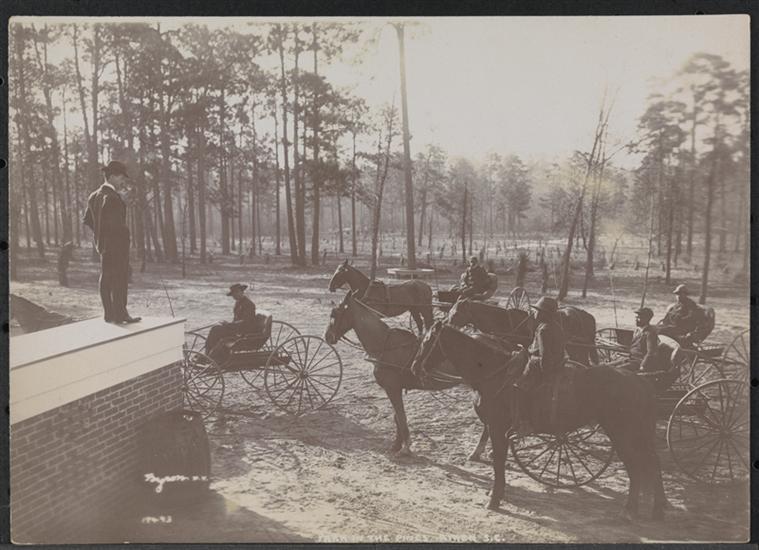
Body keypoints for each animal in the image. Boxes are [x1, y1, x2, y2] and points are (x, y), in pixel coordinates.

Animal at [324, 290, 483, 455]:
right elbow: (397, 417)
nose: (327, 336)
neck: (385, 344)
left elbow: (401, 416)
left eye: (335, 314)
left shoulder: (392, 388)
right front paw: (396, 445)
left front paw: (405, 446)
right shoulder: (394, 389)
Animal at [411, 321, 665, 519]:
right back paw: (656, 511)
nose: (414, 367)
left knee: (637, 467)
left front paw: (495, 499)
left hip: (622, 435)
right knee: (652, 464)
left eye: (426, 342)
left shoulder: (496, 428)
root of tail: (640, 380)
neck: (494, 374)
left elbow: (498, 463)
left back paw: (630, 510)